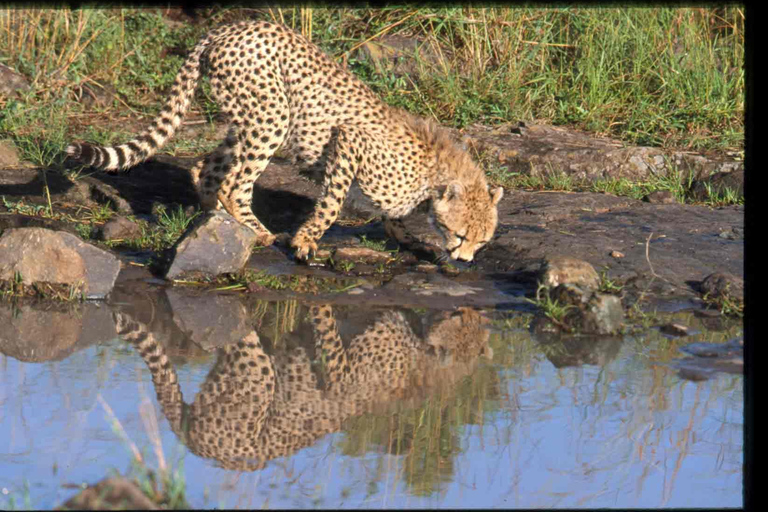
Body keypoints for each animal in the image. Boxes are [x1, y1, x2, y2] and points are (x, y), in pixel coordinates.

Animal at [67, 19, 504, 260]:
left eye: (482, 241)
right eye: (461, 235)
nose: (465, 260)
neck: (434, 172)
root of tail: (227, 27)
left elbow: (393, 219)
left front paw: (414, 243)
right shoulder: (350, 142)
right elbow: (331, 204)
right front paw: (306, 241)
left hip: (248, 116)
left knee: (208, 166)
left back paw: (215, 216)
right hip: (272, 115)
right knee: (235, 182)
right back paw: (255, 231)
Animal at [114, 302, 492, 470]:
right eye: (459, 316)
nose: (469, 308)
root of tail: (195, 447)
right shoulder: (342, 370)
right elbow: (328, 328)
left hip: (247, 377)